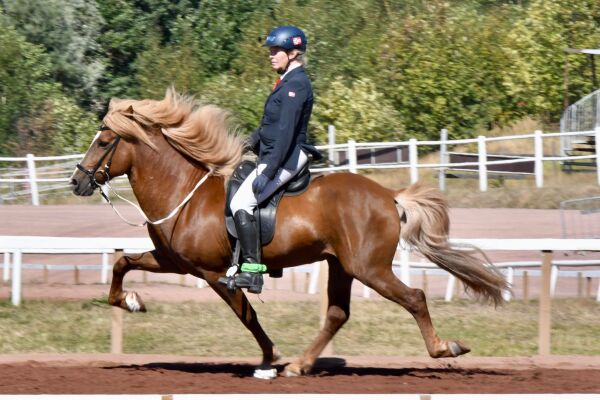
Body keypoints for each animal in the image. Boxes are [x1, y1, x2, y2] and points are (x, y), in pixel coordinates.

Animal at [70, 89, 506, 376]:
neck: (185, 191)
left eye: (104, 141)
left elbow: (246, 315)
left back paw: (443, 348)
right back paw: (302, 364)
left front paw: (272, 358)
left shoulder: (213, 274)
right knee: (337, 313)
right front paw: (131, 301)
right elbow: (122, 264)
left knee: (414, 298)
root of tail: (388, 196)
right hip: (342, 266)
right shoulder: (176, 262)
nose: (77, 181)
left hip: (369, 269)